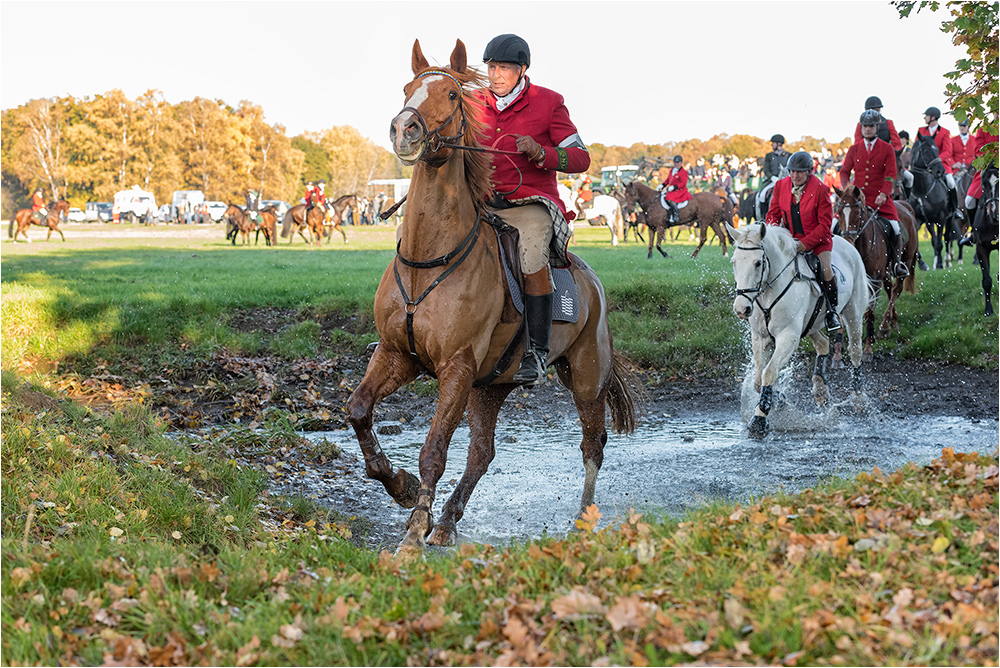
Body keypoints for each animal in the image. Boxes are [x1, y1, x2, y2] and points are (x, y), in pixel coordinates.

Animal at [348, 37, 636, 560]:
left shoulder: (456, 368)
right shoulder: (398, 355)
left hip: (586, 376)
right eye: (407, 88)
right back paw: (446, 521)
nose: (404, 129)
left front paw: (411, 535)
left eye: (452, 95)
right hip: (491, 385)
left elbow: (434, 450)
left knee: (593, 443)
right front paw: (399, 486)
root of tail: (589, 277)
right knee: (483, 452)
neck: (429, 258)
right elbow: (358, 410)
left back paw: (583, 518)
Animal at [728, 223, 876, 438]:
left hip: (853, 313)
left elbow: (768, 373)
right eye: (734, 262)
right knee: (823, 344)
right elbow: (757, 379)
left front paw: (759, 420)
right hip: (811, 323)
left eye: (758, 263)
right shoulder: (760, 337)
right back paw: (820, 387)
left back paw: (858, 397)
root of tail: (847, 243)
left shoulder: (788, 336)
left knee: (855, 351)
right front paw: (777, 399)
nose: (741, 308)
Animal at [832, 185, 916, 360]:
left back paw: (884, 326)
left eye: (858, 212)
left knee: (896, 290)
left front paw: (868, 347)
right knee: (890, 289)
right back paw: (892, 321)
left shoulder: (875, 280)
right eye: (839, 211)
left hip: (906, 261)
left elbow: (869, 312)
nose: (848, 241)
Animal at [908, 133, 960, 268]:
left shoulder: (940, 219)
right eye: (926, 151)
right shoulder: (922, 220)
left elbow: (939, 243)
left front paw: (940, 264)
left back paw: (947, 261)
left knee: (946, 238)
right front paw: (924, 263)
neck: (921, 191)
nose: (941, 171)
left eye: (937, 150)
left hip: (950, 218)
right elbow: (928, 241)